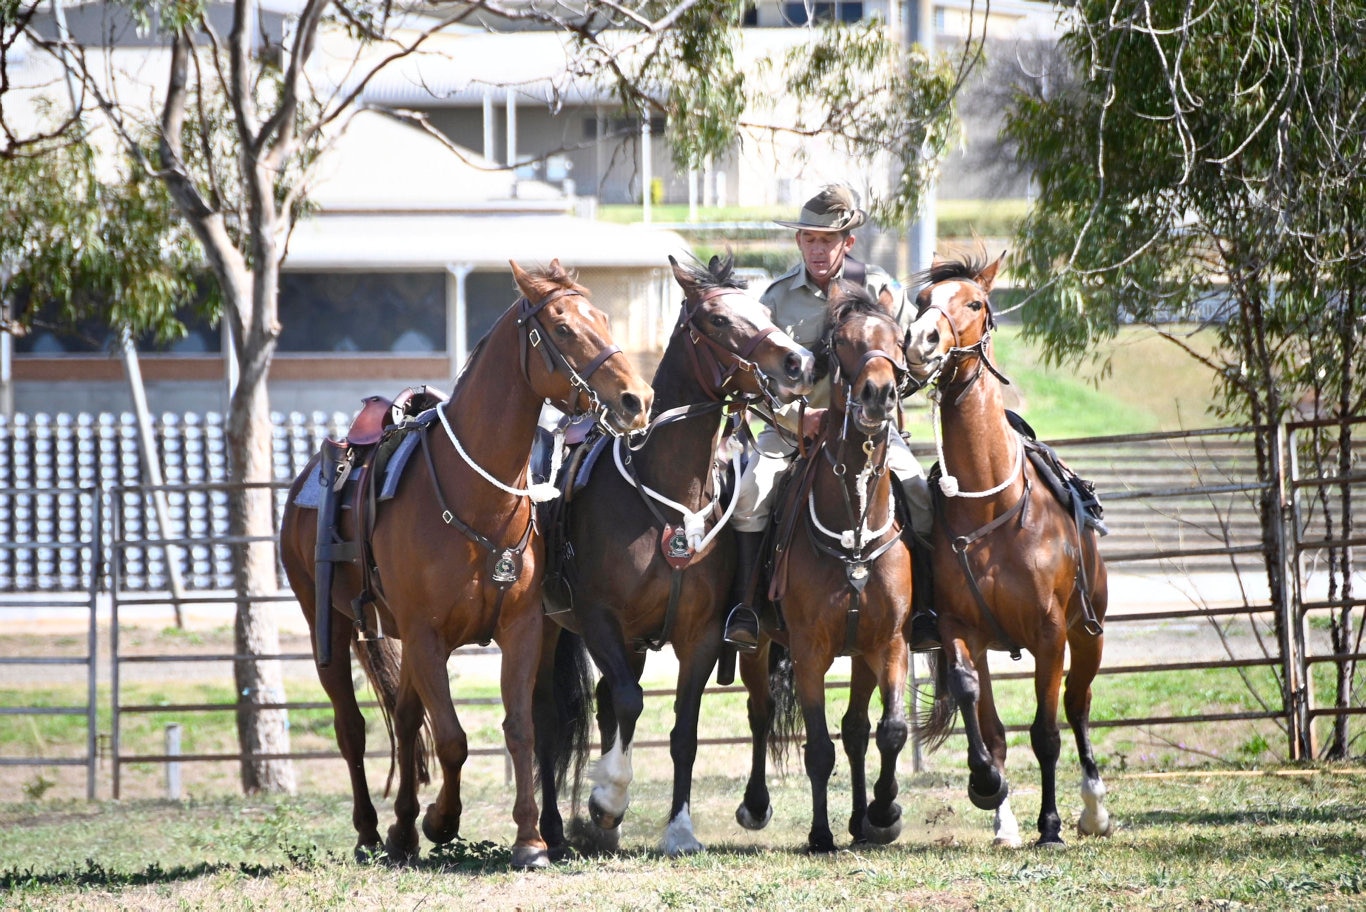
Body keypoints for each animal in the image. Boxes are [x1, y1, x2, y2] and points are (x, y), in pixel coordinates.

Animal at [277, 258, 650, 868]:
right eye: (564, 327)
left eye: (604, 318)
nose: (636, 399)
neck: (477, 496)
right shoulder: (428, 636)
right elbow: (453, 738)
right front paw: (443, 820)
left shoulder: (520, 629)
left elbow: (519, 728)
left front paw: (529, 840)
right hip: (326, 623)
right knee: (352, 726)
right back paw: (371, 831)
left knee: (406, 721)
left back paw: (401, 833)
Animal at [532, 255, 808, 857]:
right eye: (719, 320)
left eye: (765, 314)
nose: (798, 362)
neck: (666, 491)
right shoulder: (599, 619)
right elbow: (631, 703)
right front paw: (608, 798)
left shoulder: (700, 635)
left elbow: (683, 728)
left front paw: (678, 829)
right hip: (548, 630)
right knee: (548, 714)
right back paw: (554, 830)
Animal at [732, 286, 912, 857]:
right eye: (841, 344)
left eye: (897, 340)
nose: (878, 394)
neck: (853, 530)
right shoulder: (810, 652)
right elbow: (817, 748)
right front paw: (819, 834)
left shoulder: (889, 643)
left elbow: (889, 730)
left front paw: (883, 812)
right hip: (758, 647)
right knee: (761, 713)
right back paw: (756, 805)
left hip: (861, 655)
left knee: (855, 729)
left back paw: (860, 819)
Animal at [907, 251, 1109, 846]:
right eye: (922, 301)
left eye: (974, 303)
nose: (921, 339)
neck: (990, 509)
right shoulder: (960, 630)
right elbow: (983, 716)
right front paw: (992, 795)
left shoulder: (1049, 634)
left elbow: (1046, 733)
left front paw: (1051, 825)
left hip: (1087, 634)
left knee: (1078, 705)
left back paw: (1094, 808)